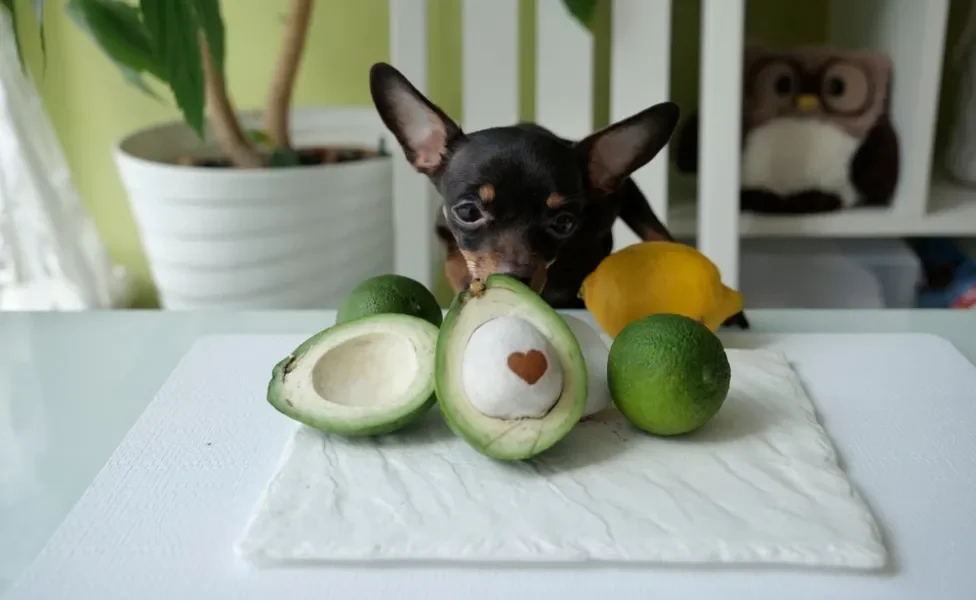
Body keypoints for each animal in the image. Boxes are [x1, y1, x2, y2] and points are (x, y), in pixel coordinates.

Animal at [366, 61, 748, 328]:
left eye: (564, 224)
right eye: (469, 212)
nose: (514, 277)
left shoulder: (623, 197)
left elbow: (659, 235)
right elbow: (461, 262)